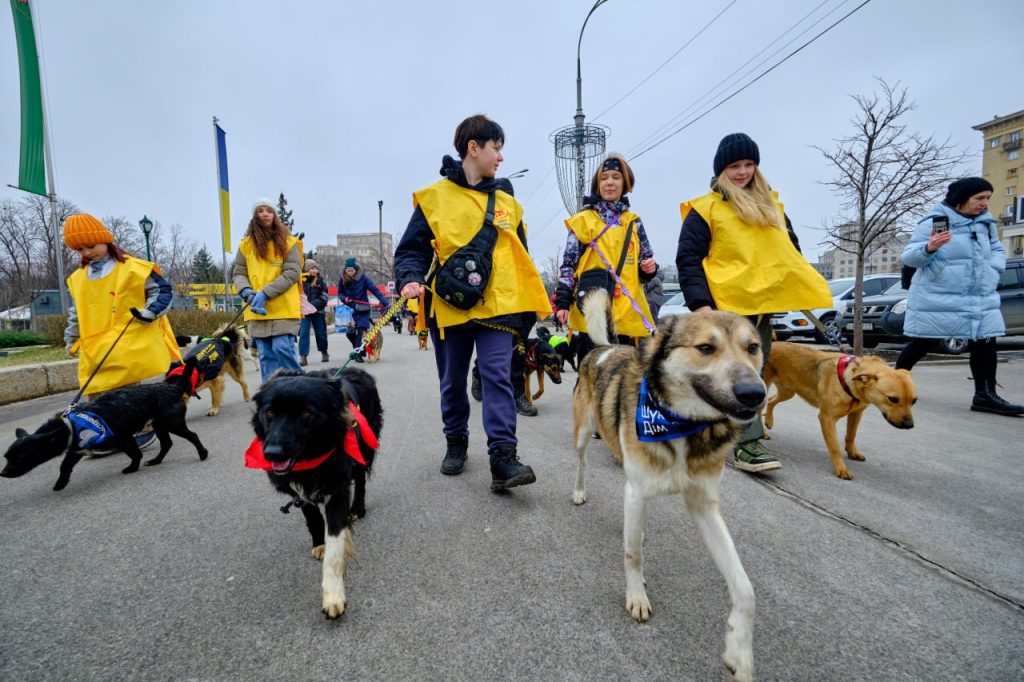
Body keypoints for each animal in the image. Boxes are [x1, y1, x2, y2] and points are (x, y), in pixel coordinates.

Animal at [0, 356, 209, 489]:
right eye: (7, 457)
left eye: (20, 458)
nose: (2, 474)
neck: (69, 426)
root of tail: (174, 387)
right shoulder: (76, 450)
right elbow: (65, 466)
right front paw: (61, 483)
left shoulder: (123, 438)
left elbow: (135, 454)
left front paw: (132, 468)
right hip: (159, 425)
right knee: (167, 443)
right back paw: (157, 461)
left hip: (172, 423)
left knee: (193, 436)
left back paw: (203, 453)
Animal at [247, 368, 385, 618]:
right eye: (270, 412)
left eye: (305, 413)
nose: (272, 453)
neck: (311, 458)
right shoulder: (300, 490)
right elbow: (313, 518)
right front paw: (319, 542)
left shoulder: (338, 489)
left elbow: (335, 549)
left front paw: (333, 595)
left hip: (364, 445)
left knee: (360, 478)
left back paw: (358, 508)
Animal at [573, 288, 765, 679]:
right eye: (706, 347)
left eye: (752, 347)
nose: (756, 393)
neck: (681, 424)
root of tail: (605, 348)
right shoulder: (636, 490)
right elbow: (633, 555)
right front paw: (637, 597)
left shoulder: (703, 503)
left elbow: (745, 587)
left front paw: (739, 649)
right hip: (585, 432)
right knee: (582, 461)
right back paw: (579, 490)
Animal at [761, 339, 921, 477]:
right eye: (893, 399)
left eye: (914, 401)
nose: (909, 425)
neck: (848, 381)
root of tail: (773, 343)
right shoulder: (827, 418)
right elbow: (835, 447)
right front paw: (841, 469)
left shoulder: (856, 413)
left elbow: (851, 435)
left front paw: (852, 452)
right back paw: (763, 432)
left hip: (788, 392)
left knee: (771, 401)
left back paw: (768, 421)